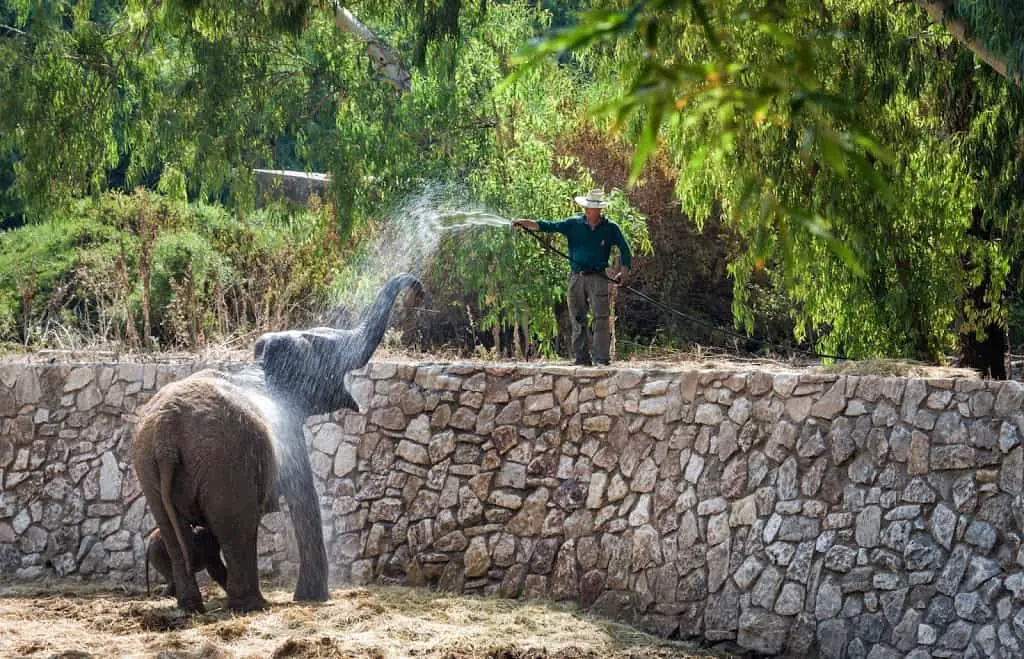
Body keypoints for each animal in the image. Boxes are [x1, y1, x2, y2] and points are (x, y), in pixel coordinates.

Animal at [133, 274, 423, 613]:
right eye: (330, 353)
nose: (418, 293)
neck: (265, 364)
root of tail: (167, 432)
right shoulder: (289, 431)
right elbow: (304, 498)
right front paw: (314, 599)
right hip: (225, 462)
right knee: (239, 528)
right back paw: (252, 605)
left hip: (148, 466)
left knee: (172, 530)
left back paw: (191, 606)